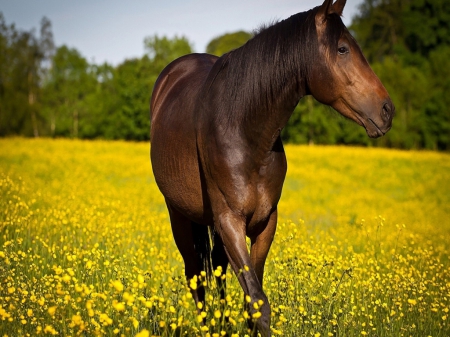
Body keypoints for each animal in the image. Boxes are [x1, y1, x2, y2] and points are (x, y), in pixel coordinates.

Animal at [149, 0, 392, 334]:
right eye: (342, 49)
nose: (387, 110)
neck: (245, 130)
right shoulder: (230, 222)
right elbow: (257, 302)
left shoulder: (265, 222)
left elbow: (252, 299)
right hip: (179, 215)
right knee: (195, 274)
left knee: (218, 271)